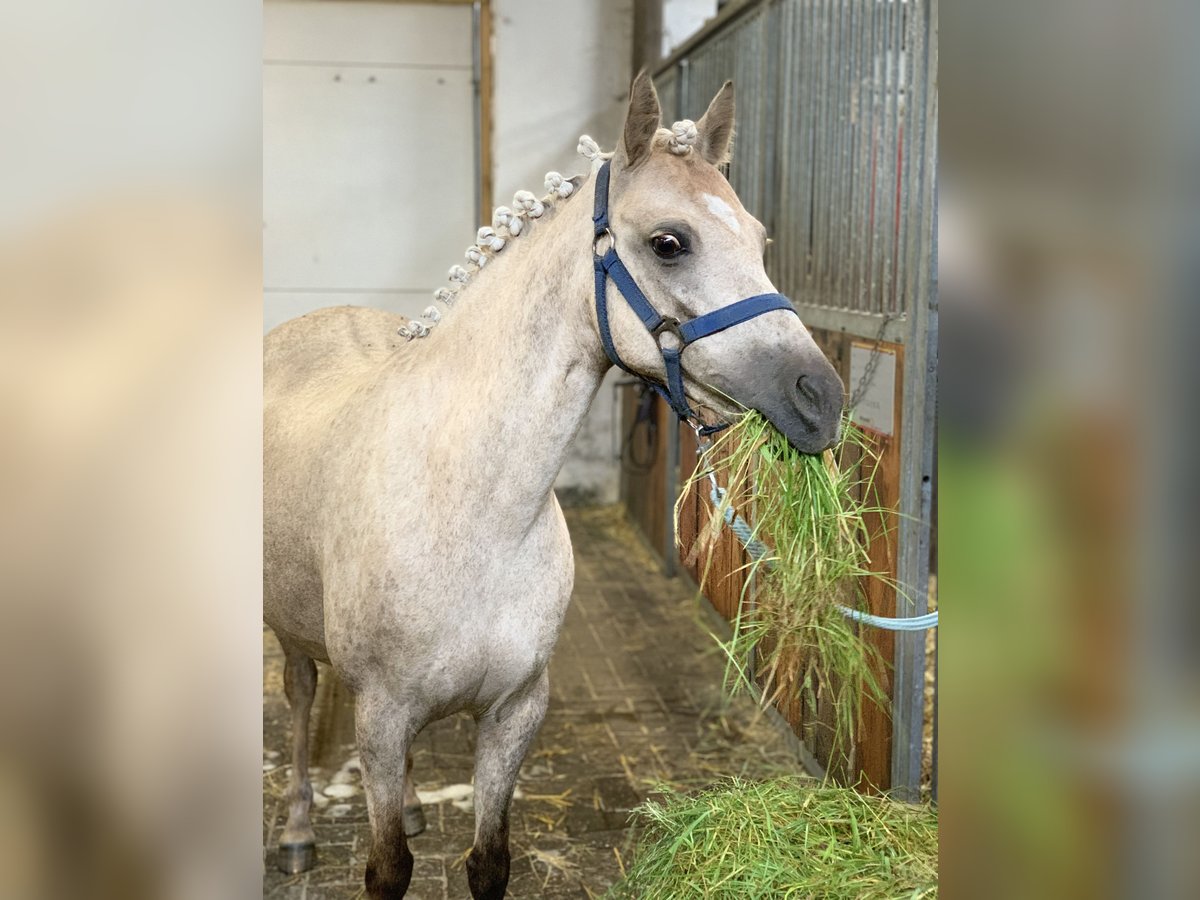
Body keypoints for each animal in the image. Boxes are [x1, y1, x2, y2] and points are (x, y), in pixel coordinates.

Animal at [262, 74, 844, 897]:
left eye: (760, 241)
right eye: (670, 242)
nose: (820, 399)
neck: (470, 509)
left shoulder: (516, 710)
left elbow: (488, 862)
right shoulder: (381, 714)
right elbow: (388, 868)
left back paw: (408, 805)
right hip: (289, 636)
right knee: (301, 698)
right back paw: (297, 832)